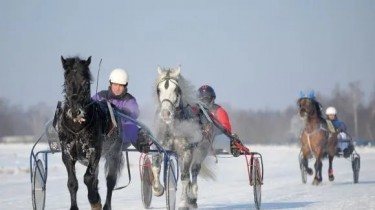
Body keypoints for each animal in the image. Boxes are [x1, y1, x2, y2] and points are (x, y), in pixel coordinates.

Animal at [58, 56, 123, 210]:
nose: (75, 111)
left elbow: (88, 178)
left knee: (110, 181)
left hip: (114, 153)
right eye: (67, 82)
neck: (76, 128)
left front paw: (94, 199)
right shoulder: (67, 153)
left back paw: (105, 205)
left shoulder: (94, 151)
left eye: (86, 83)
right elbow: (72, 182)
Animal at [151, 65, 216, 208]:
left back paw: (192, 197)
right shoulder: (162, 147)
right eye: (159, 90)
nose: (166, 114)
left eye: (176, 89)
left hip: (201, 151)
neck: (173, 127)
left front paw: (182, 202)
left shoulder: (187, 151)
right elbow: (156, 165)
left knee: (194, 171)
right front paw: (158, 189)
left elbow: (185, 178)